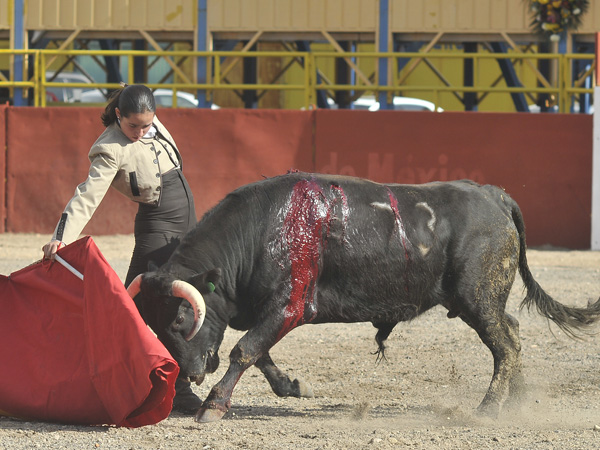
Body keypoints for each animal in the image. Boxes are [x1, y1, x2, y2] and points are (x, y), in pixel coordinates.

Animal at [127, 171, 600, 422]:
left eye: (179, 320)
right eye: (153, 324)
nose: (189, 373)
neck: (258, 233)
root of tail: (491, 194)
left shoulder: (289, 306)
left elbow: (244, 350)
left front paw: (213, 406)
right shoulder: (269, 311)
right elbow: (259, 353)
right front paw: (292, 386)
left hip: (477, 299)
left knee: (504, 344)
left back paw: (486, 409)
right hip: (481, 302)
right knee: (513, 334)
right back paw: (514, 400)